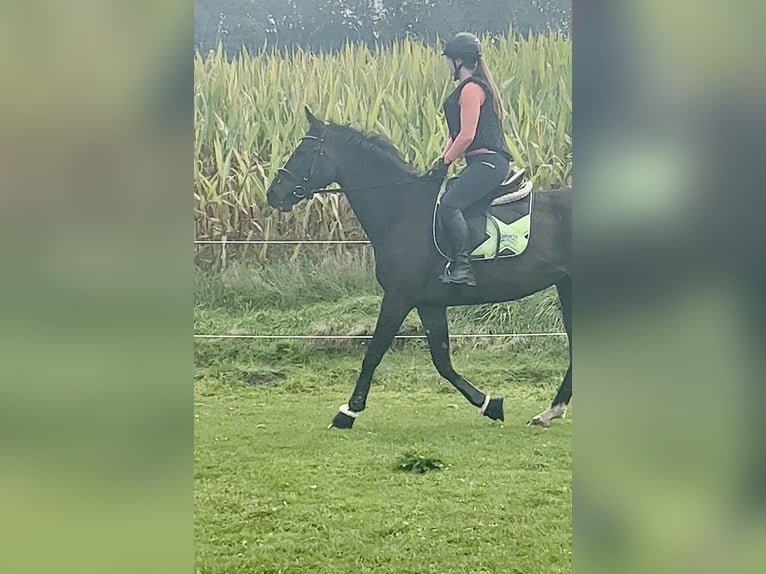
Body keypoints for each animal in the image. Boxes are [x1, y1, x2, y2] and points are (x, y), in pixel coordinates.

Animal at [268, 110, 572, 430]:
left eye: (304, 151)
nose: (273, 193)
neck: (401, 208)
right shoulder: (429, 304)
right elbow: (442, 362)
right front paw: (490, 404)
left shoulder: (398, 297)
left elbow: (373, 353)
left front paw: (347, 412)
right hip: (567, 286)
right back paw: (550, 411)